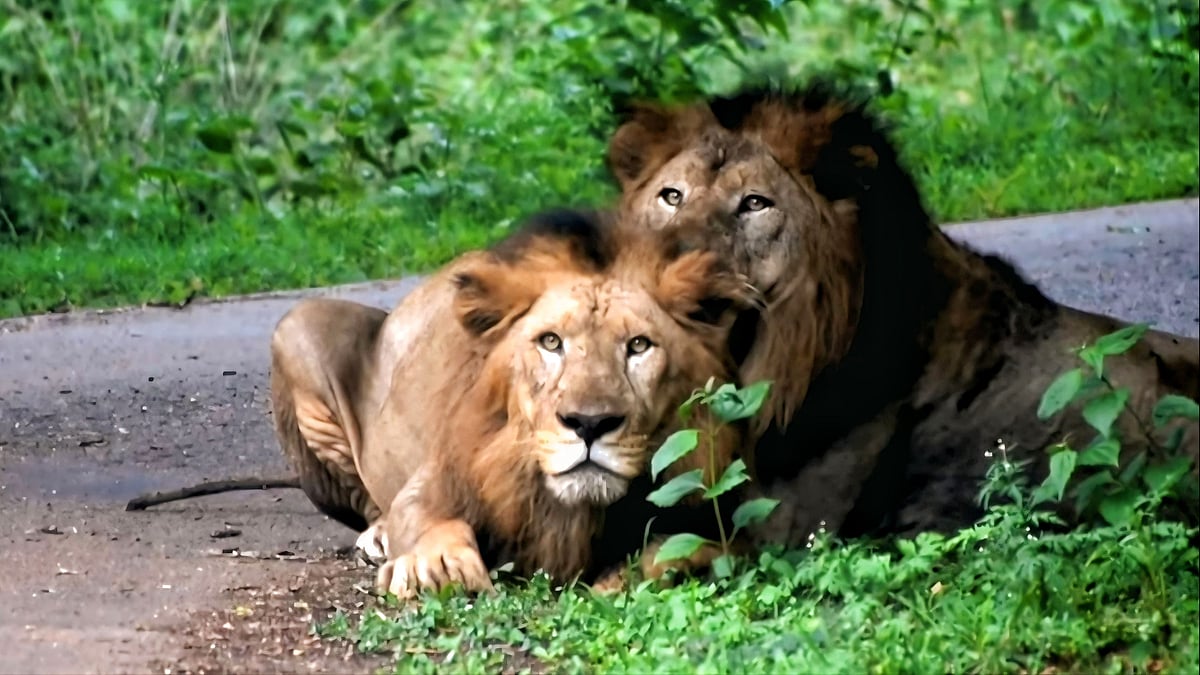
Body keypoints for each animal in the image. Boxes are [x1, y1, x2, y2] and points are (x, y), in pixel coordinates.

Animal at [267, 209, 757, 597]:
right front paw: (436, 568)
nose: (589, 424)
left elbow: (688, 547)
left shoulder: (718, 511)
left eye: (638, 345)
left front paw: (631, 577)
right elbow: (424, 520)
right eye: (551, 342)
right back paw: (378, 536)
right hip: (297, 325)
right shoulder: (439, 478)